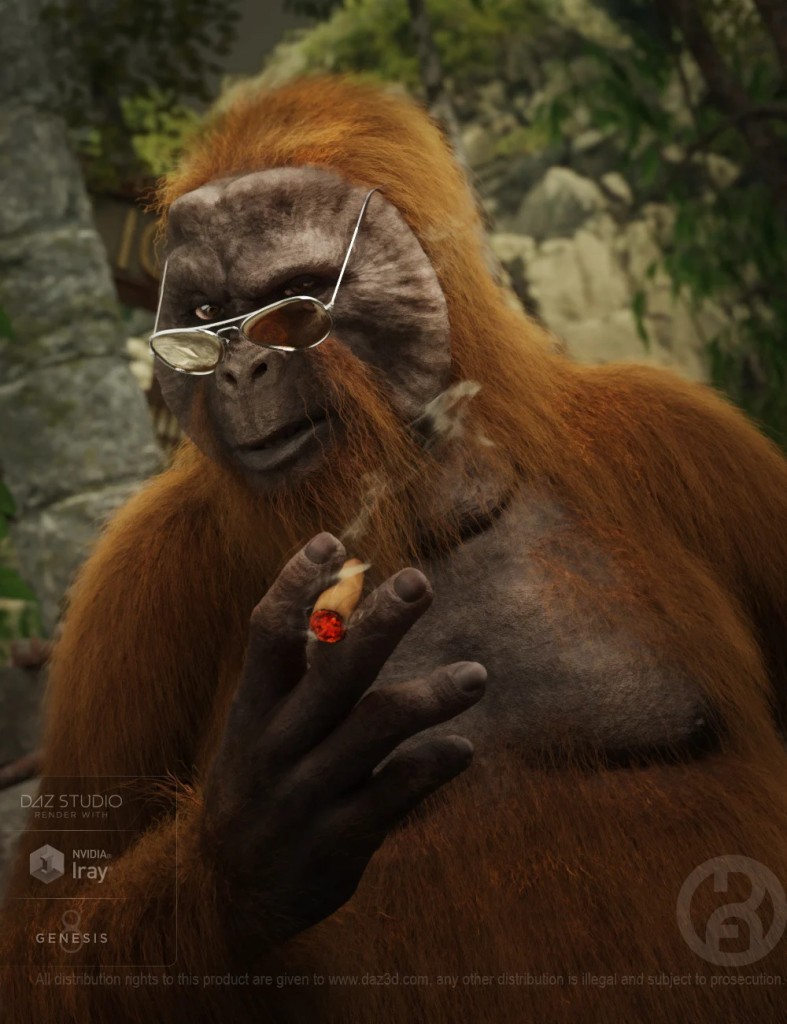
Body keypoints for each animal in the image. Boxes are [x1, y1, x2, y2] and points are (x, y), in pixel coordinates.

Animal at [2, 76, 787, 1023]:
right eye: (203, 320)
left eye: (294, 304)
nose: (237, 371)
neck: (420, 508)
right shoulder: (136, 581)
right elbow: (40, 940)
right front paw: (244, 848)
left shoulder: (683, 438)